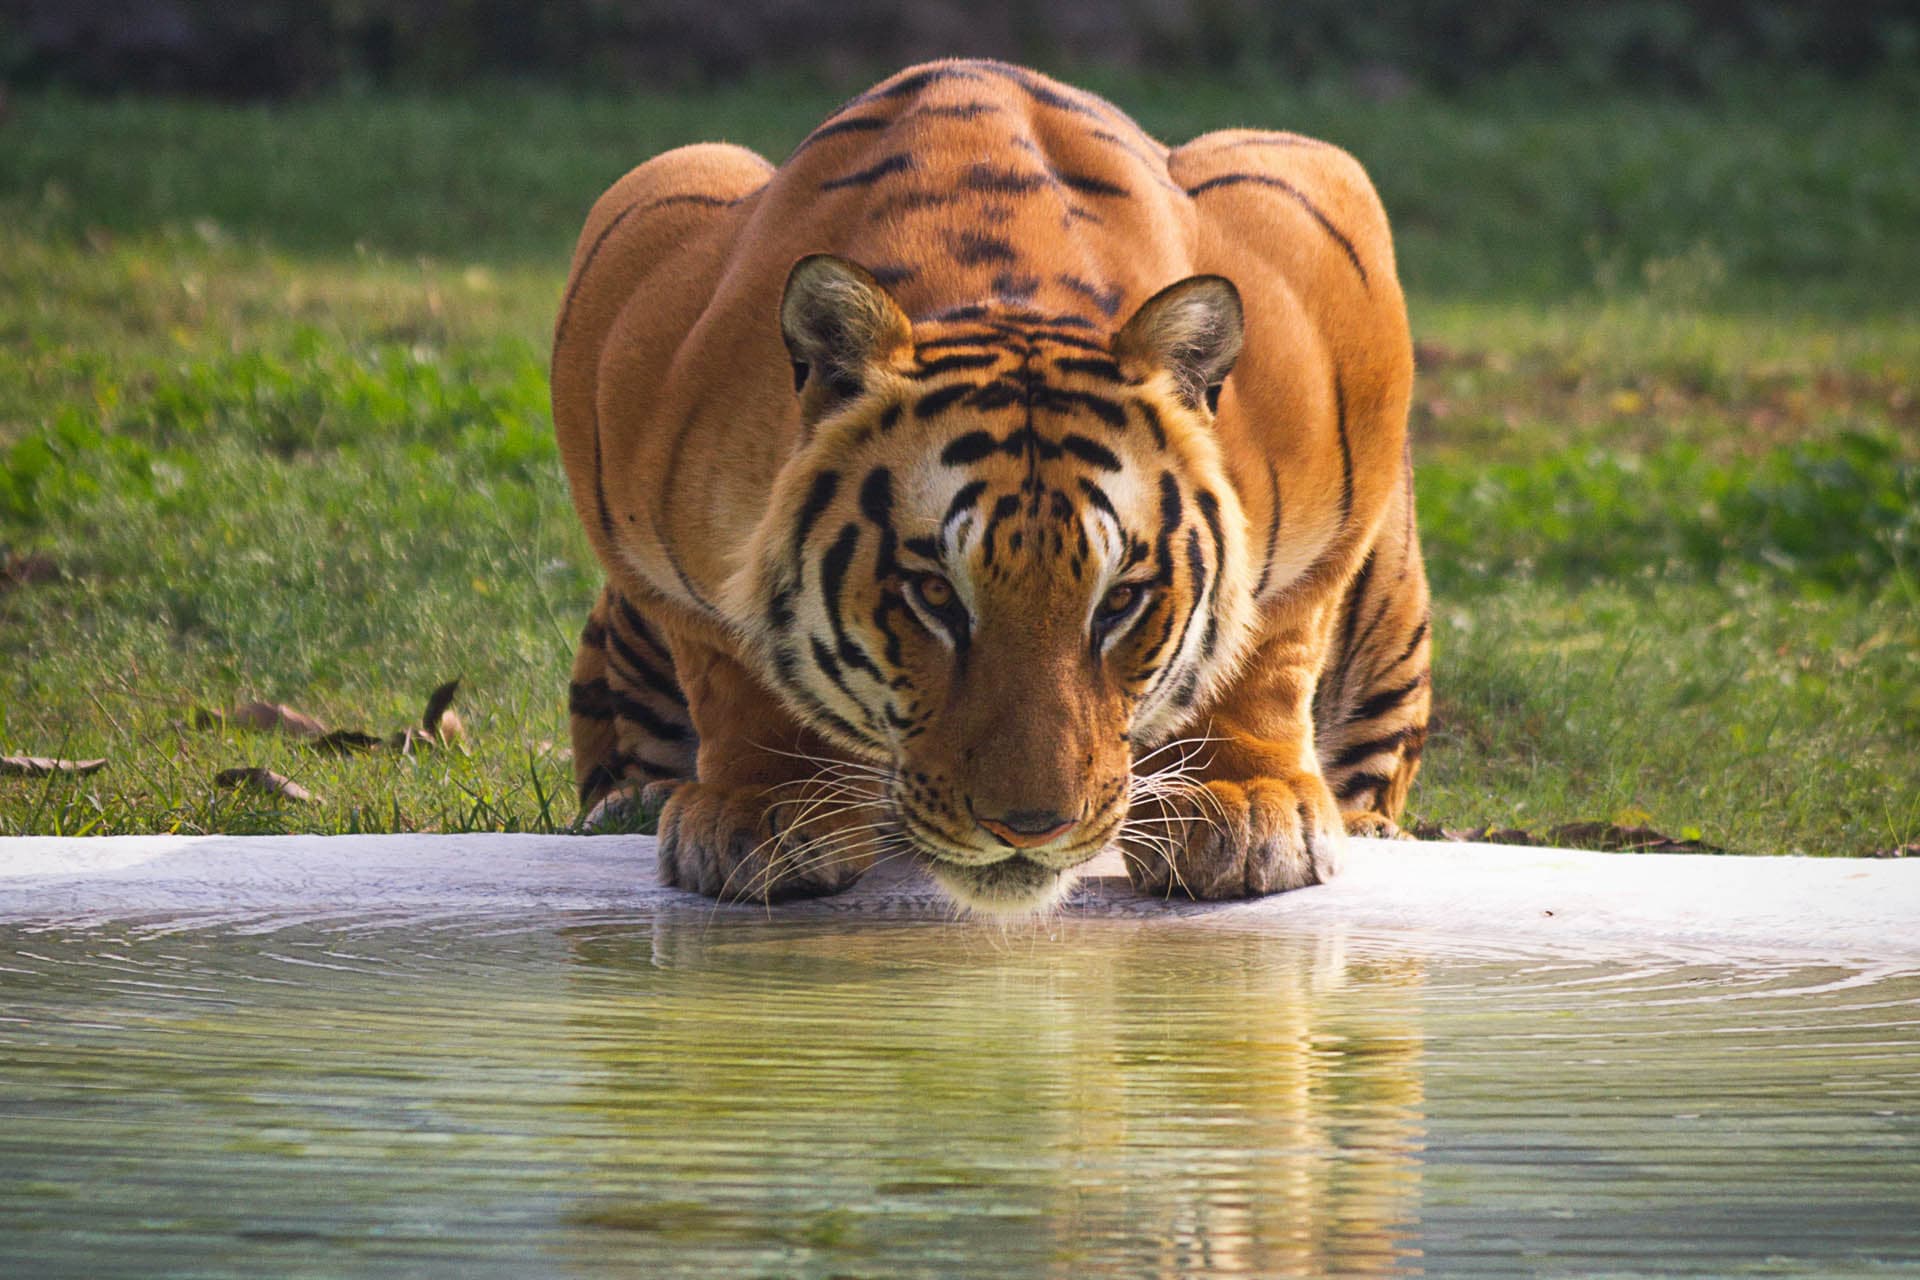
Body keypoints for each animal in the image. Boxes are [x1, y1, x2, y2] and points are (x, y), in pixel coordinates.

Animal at [551, 59, 1430, 914]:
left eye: (1121, 600)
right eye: (935, 595)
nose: (1030, 829)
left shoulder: (1324, 236)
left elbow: (1273, 640)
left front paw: (1244, 806)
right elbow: (727, 661)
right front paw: (763, 808)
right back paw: (632, 803)